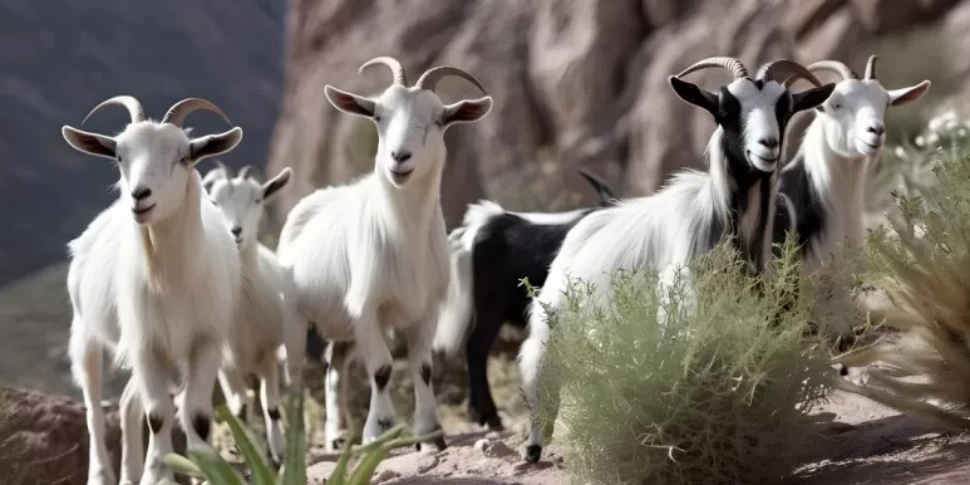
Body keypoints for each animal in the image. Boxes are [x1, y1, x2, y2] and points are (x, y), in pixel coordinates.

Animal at [62, 96, 243, 485]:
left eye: (184, 156)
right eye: (119, 156)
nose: (139, 197)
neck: (171, 278)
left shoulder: (204, 341)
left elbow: (197, 416)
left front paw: (206, 471)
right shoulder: (145, 343)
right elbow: (158, 414)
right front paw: (157, 475)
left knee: (128, 403)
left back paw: (130, 474)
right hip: (86, 332)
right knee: (94, 407)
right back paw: (102, 475)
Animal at [201, 162, 294, 467]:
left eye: (257, 199)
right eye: (214, 202)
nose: (236, 231)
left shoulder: (269, 353)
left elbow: (272, 407)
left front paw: (278, 457)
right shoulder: (224, 365)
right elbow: (239, 412)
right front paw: (248, 456)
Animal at [275, 57, 493, 450]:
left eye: (438, 119)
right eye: (377, 115)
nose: (399, 158)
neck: (403, 236)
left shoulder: (427, 308)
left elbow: (423, 367)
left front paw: (431, 433)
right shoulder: (367, 306)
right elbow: (381, 368)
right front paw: (378, 431)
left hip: (343, 324)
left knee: (334, 366)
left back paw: (336, 434)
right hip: (294, 315)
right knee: (296, 373)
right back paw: (299, 439)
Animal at [517, 58, 836, 463]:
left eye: (786, 108)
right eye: (725, 109)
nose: (768, 146)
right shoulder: (683, 315)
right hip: (549, 331)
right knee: (539, 378)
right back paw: (534, 447)